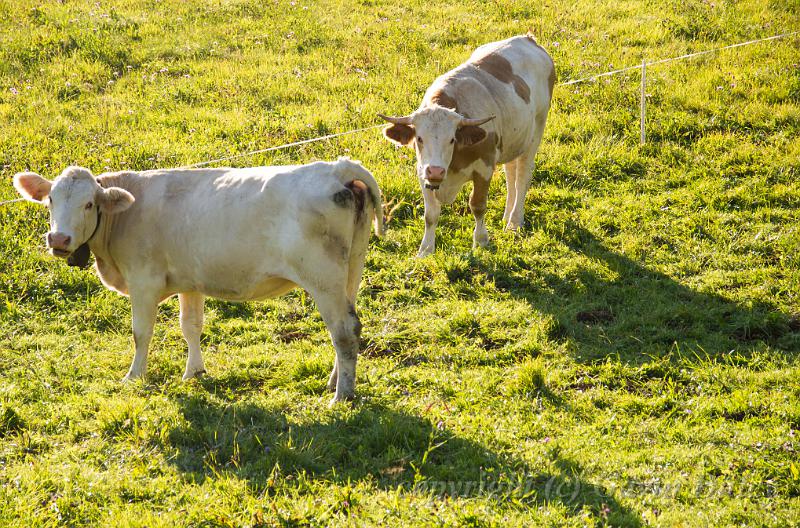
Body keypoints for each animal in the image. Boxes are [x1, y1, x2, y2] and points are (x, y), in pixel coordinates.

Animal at [13, 159, 384, 402]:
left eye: (89, 204)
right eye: (50, 200)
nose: (58, 239)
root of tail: (337, 168)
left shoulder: (143, 281)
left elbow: (141, 333)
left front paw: (134, 376)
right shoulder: (190, 281)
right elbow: (190, 326)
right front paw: (194, 372)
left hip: (323, 278)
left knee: (343, 331)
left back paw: (342, 396)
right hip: (351, 270)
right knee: (350, 328)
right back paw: (335, 382)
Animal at [378, 32, 552, 256]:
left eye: (452, 139)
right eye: (419, 138)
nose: (436, 171)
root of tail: (528, 39)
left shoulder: (484, 168)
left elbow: (477, 205)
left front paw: (481, 241)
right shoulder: (422, 171)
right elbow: (430, 214)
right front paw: (425, 250)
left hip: (536, 132)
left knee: (522, 177)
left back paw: (514, 222)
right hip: (514, 141)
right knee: (511, 173)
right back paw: (507, 215)